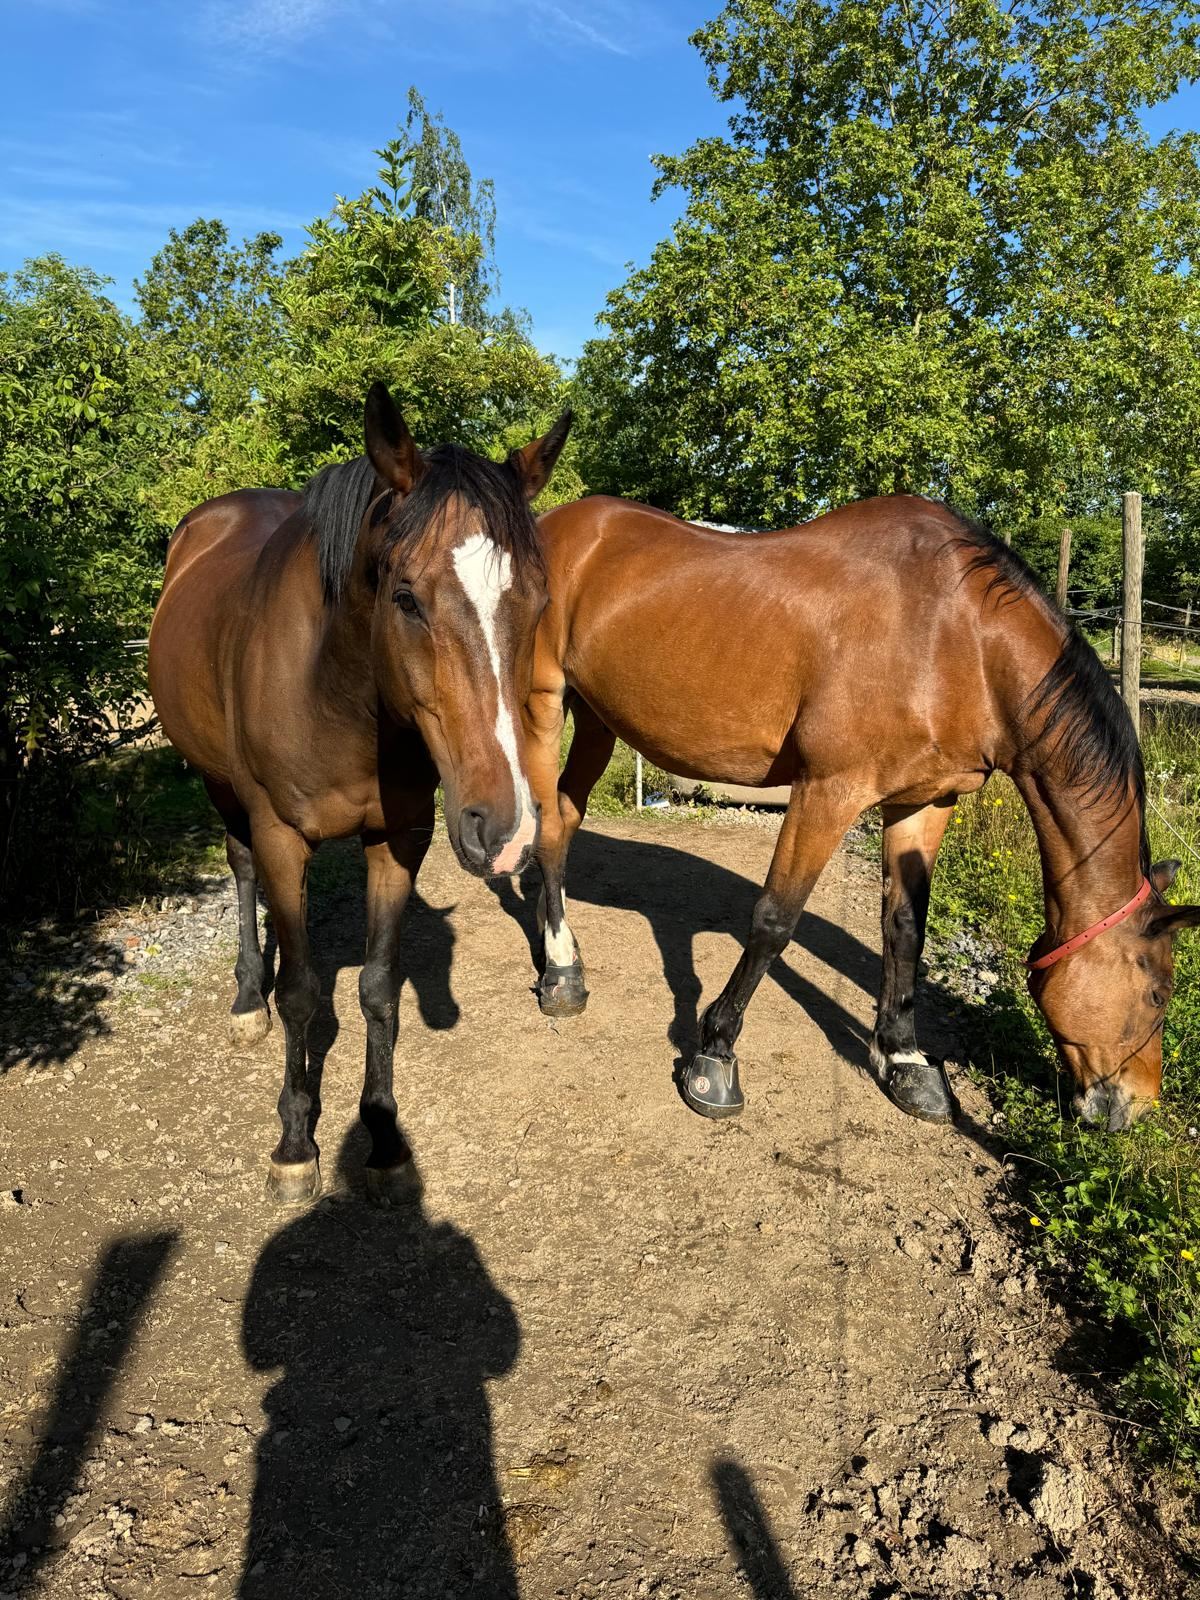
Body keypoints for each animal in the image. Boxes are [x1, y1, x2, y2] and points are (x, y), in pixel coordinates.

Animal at [148, 383, 571, 1202]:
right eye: (404, 597)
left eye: (537, 603)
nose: (504, 832)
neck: (335, 690)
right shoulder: (281, 837)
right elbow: (303, 994)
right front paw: (293, 1145)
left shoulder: (397, 840)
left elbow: (377, 988)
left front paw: (381, 1136)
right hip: (219, 784)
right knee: (241, 870)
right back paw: (246, 997)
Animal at [523, 494, 1200, 1132]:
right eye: (1157, 994)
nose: (1137, 1106)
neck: (957, 639)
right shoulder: (829, 791)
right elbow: (774, 920)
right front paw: (713, 1056)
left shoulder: (923, 800)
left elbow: (904, 928)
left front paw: (903, 1061)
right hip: (542, 705)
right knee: (546, 823)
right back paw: (560, 974)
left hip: (597, 719)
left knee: (566, 816)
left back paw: (562, 950)